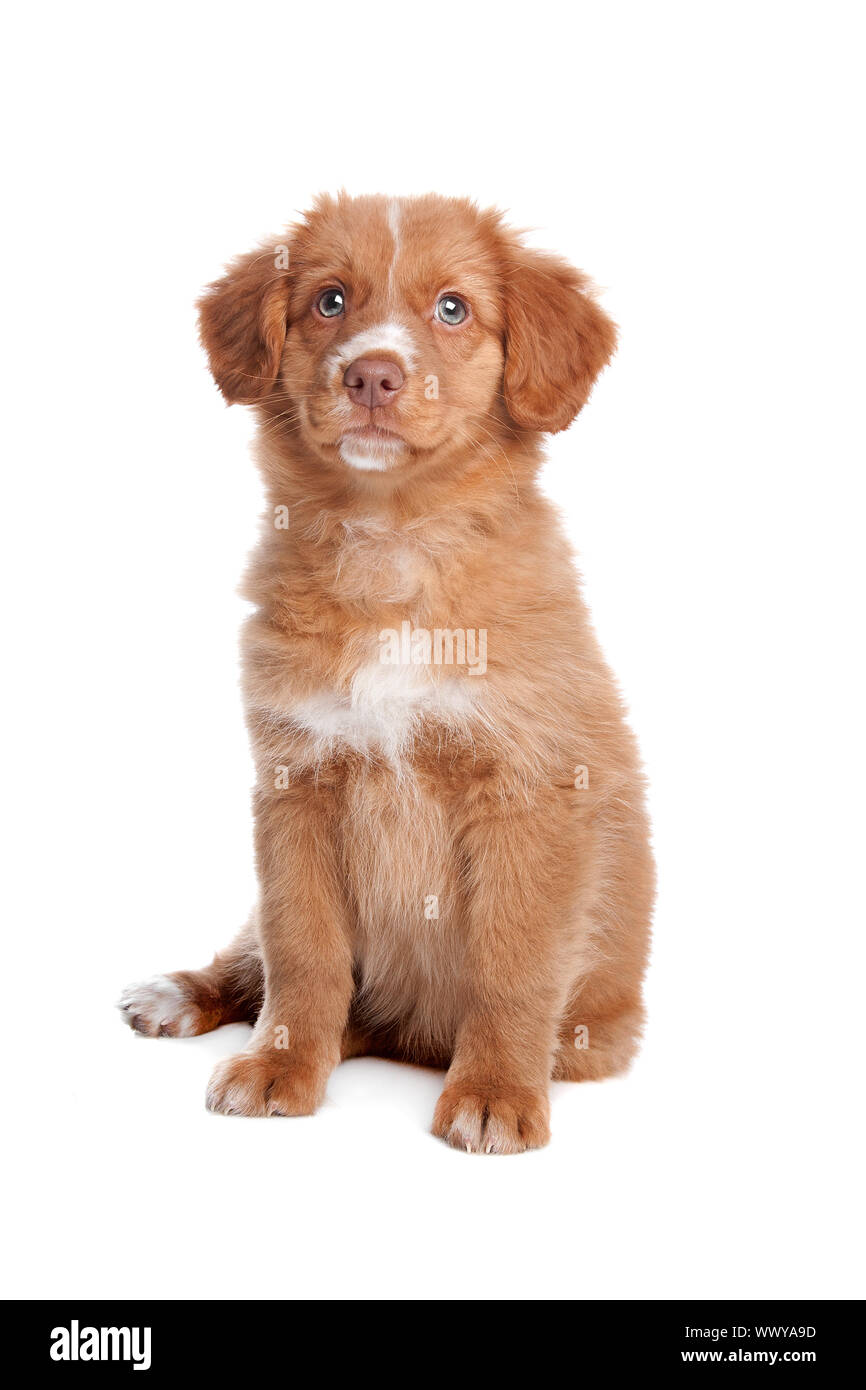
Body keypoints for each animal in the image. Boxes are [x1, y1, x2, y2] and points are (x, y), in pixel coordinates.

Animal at [118, 195, 653, 1150]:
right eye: (330, 300)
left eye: (453, 308)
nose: (372, 375)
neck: (391, 541)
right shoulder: (295, 785)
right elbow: (302, 954)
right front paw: (280, 1065)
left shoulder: (531, 795)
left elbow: (513, 966)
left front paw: (496, 1094)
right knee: (253, 962)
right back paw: (182, 995)